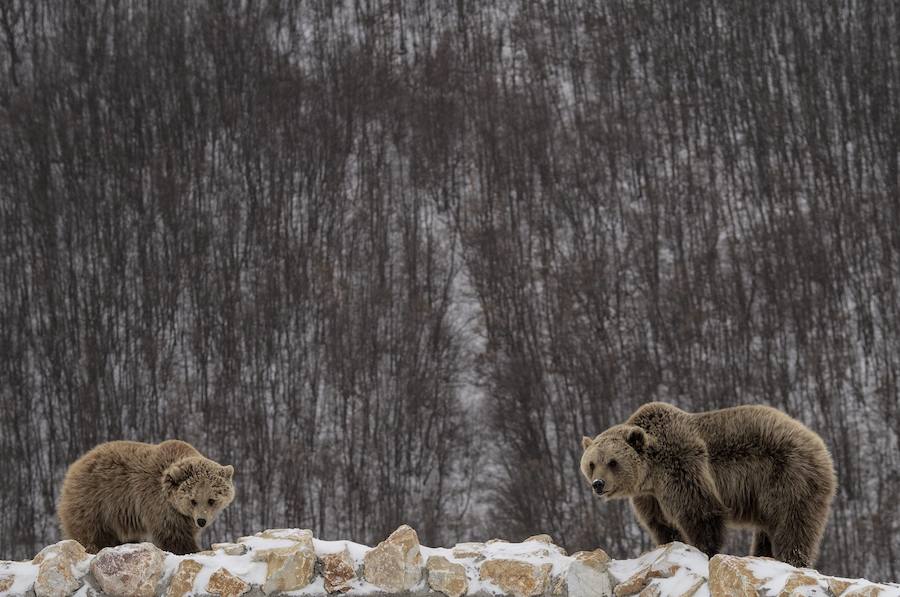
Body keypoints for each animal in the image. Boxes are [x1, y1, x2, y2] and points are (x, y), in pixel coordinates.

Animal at [57, 438, 236, 556]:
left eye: (211, 500)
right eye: (193, 500)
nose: (201, 521)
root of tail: (74, 466)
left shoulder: (183, 516)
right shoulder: (158, 504)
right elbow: (173, 534)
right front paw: (192, 549)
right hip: (95, 502)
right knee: (92, 533)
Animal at [584, 400, 836, 564]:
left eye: (613, 462)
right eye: (591, 463)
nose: (598, 484)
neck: (651, 472)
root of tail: (820, 444)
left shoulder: (682, 467)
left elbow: (700, 511)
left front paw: (704, 550)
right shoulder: (649, 496)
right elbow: (661, 523)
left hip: (787, 475)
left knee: (791, 523)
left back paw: (792, 559)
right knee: (768, 529)